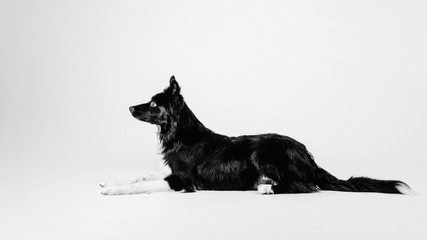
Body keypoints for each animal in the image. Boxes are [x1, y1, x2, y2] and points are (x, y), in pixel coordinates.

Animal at [99, 76, 412, 195]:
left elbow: (142, 185)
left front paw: (114, 191)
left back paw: (267, 188)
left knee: (306, 186)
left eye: (154, 104)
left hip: (263, 151)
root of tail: (309, 156)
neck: (179, 135)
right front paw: (109, 182)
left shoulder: (182, 180)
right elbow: (138, 177)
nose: (130, 107)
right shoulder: (168, 173)